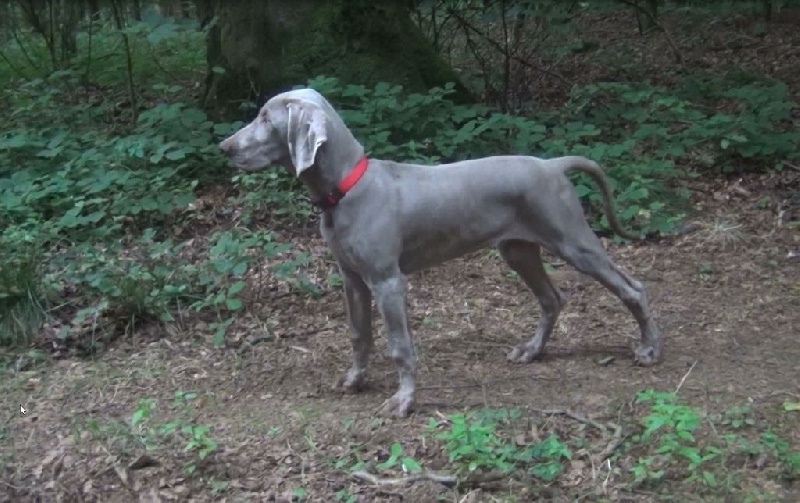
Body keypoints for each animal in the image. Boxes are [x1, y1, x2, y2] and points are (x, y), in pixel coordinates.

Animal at [220, 87, 664, 418]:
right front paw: (355, 379)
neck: (346, 189)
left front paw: (404, 400)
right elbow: (359, 334)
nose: (224, 147)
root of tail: (552, 164)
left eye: (266, 118)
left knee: (633, 288)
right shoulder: (352, 279)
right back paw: (532, 350)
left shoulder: (387, 281)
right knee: (552, 299)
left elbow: (400, 347)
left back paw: (649, 349)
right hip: (518, 251)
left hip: (573, 242)